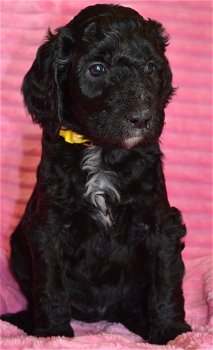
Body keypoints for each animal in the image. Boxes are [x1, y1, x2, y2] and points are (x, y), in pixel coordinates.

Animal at [1, 4, 191, 344]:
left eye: (150, 67)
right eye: (97, 69)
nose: (141, 118)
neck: (102, 152)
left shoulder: (160, 222)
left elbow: (166, 280)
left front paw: (170, 333)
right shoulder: (48, 224)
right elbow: (50, 285)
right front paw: (53, 333)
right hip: (19, 246)